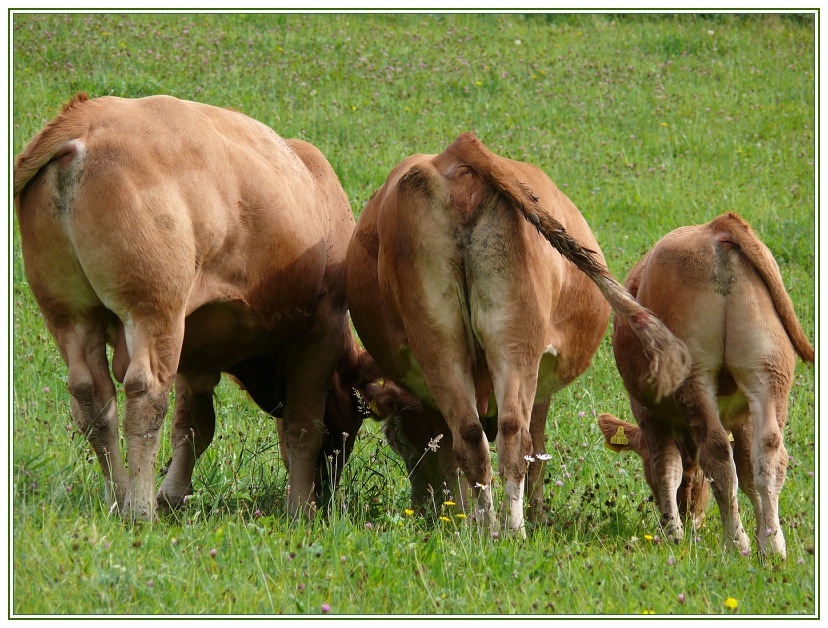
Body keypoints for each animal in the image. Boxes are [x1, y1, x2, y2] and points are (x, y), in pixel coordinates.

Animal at [12, 93, 372, 524]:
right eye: (353, 418)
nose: (328, 490)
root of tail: (89, 117)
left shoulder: (197, 350)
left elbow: (193, 426)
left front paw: (172, 494)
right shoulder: (322, 329)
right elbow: (303, 427)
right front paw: (301, 510)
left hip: (70, 312)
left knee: (91, 398)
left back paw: (118, 497)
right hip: (155, 310)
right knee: (145, 394)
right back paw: (140, 510)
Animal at [344, 134, 692, 536]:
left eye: (396, 440)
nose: (425, 507)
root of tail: (456, 152)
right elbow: (535, 449)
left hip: (443, 341)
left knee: (474, 436)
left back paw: (491, 528)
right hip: (513, 343)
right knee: (513, 437)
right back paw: (511, 530)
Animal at [600, 213, 812, 556]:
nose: (692, 517)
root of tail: (716, 227)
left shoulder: (648, 414)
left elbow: (666, 467)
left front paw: (672, 532)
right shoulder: (741, 417)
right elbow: (748, 471)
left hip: (694, 376)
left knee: (717, 453)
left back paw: (735, 543)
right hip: (769, 374)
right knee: (770, 453)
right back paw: (772, 545)